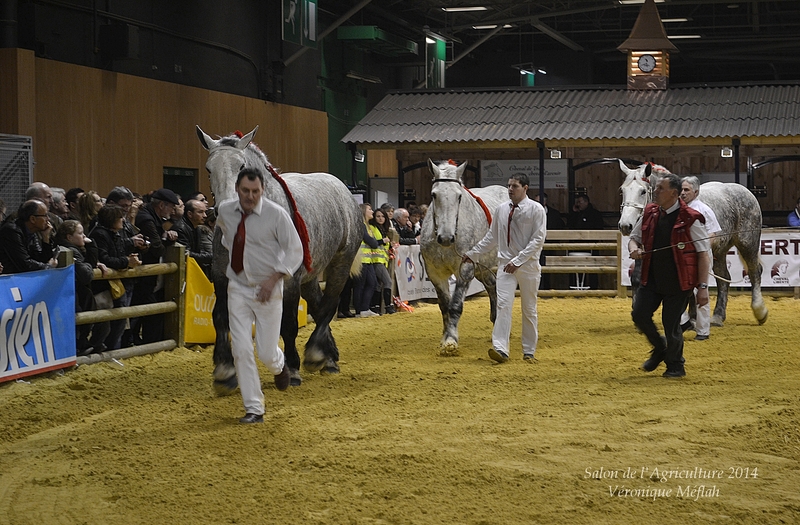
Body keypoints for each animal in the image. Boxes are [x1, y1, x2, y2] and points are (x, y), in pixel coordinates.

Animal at [197, 126, 362, 388]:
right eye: (208, 168)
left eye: (242, 166)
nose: (221, 210)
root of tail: (343, 190)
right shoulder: (221, 277)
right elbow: (221, 318)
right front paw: (225, 371)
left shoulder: (289, 280)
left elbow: (289, 324)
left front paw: (292, 368)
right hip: (311, 276)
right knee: (319, 306)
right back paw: (329, 356)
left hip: (340, 263)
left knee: (329, 305)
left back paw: (316, 354)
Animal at [418, 160, 506, 354]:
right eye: (434, 195)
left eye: (459, 196)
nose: (446, 238)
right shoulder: (435, 273)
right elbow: (444, 305)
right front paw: (445, 338)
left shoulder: (465, 268)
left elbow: (455, 305)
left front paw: (451, 341)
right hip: (482, 268)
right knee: (492, 286)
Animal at [616, 158, 764, 326]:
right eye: (622, 191)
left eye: (642, 191)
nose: (625, 225)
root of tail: (747, 193)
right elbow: (637, 278)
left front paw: (689, 317)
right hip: (719, 251)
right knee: (724, 279)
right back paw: (718, 316)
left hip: (748, 244)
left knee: (754, 271)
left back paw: (759, 310)